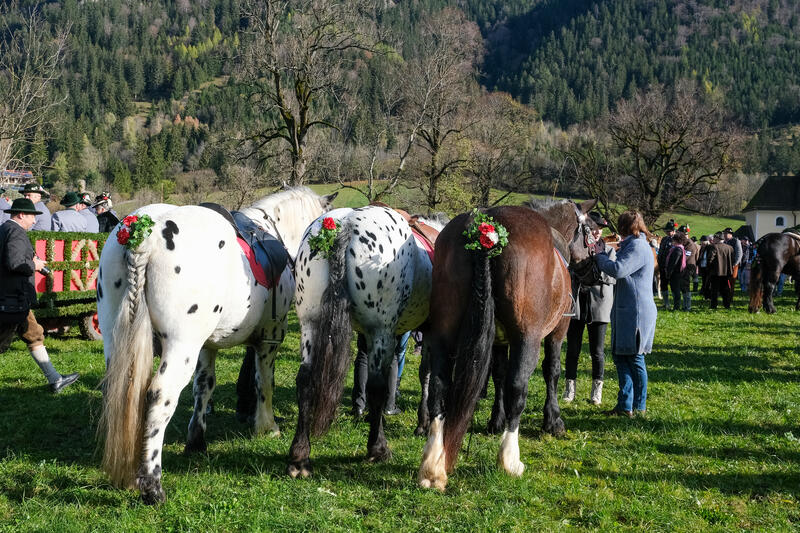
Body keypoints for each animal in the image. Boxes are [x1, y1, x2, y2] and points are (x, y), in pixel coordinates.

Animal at [96, 187, 334, 502]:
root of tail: (144, 232)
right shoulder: (271, 336)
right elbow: (264, 382)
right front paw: (266, 425)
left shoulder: (206, 347)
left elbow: (204, 387)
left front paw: (196, 440)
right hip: (181, 346)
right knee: (160, 397)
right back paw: (152, 484)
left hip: (116, 339)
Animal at [286, 205, 440, 478]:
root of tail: (344, 224)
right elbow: (426, 375)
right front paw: (423, 421)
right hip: (381, 330)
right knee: (377, 384)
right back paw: (377, 448)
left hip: (310, 324)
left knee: (304, 379)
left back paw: (299, 456)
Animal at [418, 200, 600, 490]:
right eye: (593, 233)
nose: (598, 272)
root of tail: (486, 228)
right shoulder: (557, 331)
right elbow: (551, 371)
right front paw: (553, 420)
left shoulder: (497, 342)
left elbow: (498, 375)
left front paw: (496, 419)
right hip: (528, 338)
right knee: (518, 387)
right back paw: (509, 459)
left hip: (443, 334)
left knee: (438, 386)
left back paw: (433, 464)